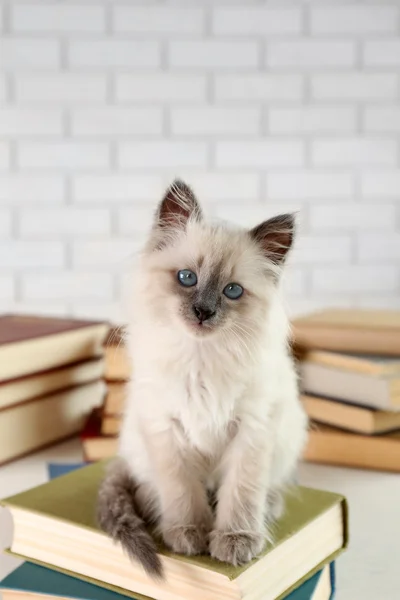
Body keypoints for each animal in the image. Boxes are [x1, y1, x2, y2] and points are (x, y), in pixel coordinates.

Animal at [96, 180, 306, 580]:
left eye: (232, 290)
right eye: (187, 278)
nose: (202, 312)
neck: (201, 358)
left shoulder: (252, 429)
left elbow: (241, 492)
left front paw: (235, 540)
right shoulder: (167, 429)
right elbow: (181, 491)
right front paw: (188, 534)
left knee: (261, 488)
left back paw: (268, 507)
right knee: (148, 486)